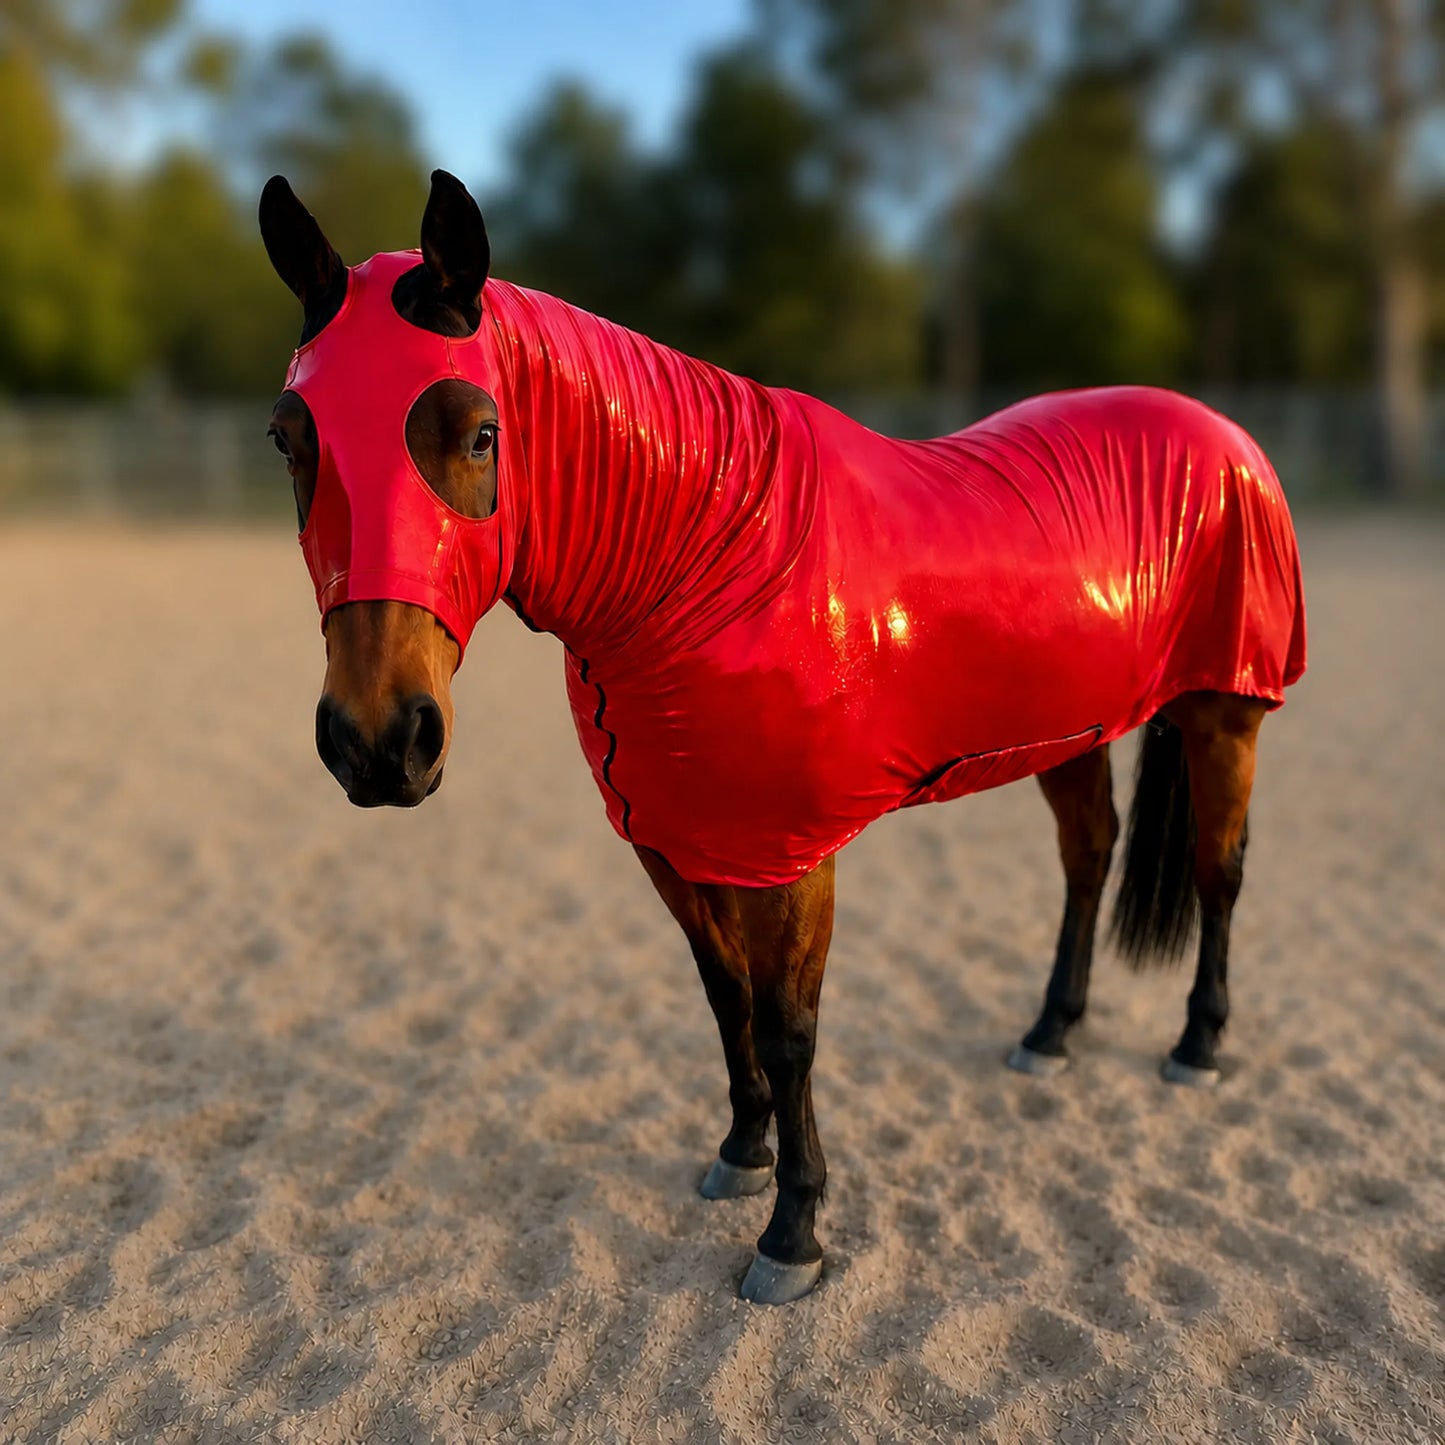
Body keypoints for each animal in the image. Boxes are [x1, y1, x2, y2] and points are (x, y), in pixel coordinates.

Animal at [258, 169, 1306, 1305]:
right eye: (287, 439)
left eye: (478, 432)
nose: (377, 741)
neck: (701, 561)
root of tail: (1221, 436)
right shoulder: (675, 839)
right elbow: (725, 998)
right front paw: (739, 1153)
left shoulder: (789, 857)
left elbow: (788, 1026)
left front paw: (792, 1232)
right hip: (1072, 730)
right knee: (1089, 854)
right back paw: (1048, 1032)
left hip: (1221, 713)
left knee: (1216, 871)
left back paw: (1196, 1043)